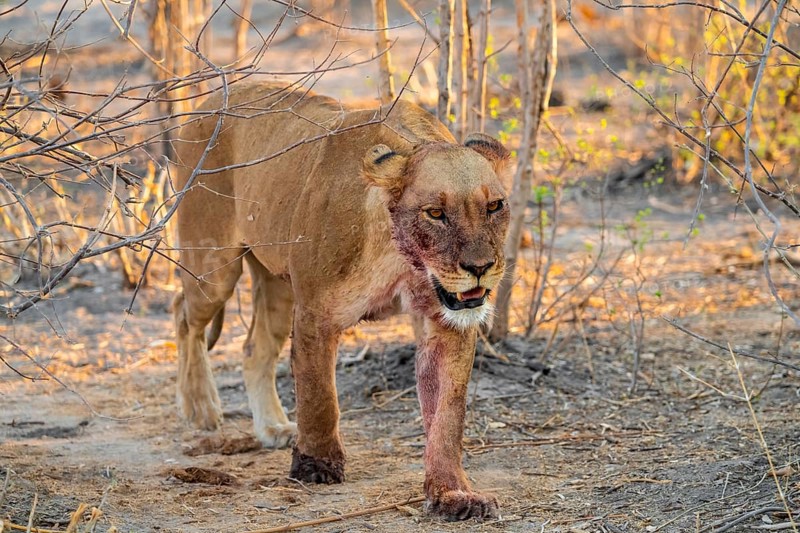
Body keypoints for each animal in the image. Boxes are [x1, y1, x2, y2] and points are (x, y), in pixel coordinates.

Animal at [172, 82, 510, 520]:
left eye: (494, 206)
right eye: (435, 213)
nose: (480, 267)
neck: (403, 258)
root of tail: (208, 103)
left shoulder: (446, 323)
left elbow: (447, 415)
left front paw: (453, 493)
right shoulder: (316, 312)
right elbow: (320, 396)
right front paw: (316, 465)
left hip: (277, 284)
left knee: (252, 348)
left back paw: (273, 428)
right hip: (213, 267)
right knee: (183, 316)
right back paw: (201, 408)